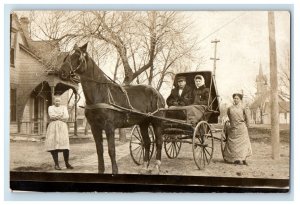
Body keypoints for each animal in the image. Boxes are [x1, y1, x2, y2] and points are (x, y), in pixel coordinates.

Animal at [59, 43, 165, 175]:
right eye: (67, 56)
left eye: (77, 55)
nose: (61, 71)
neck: (100, 94)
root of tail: (157, 93)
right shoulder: (95, 127)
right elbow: (99, 150)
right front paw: (101, 170)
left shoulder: (109, 127)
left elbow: (111, 150)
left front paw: (115, 170)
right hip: (143, 123)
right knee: (147, 142)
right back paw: (145, 166)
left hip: (157, 122)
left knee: (159, 142)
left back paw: (156, 167)